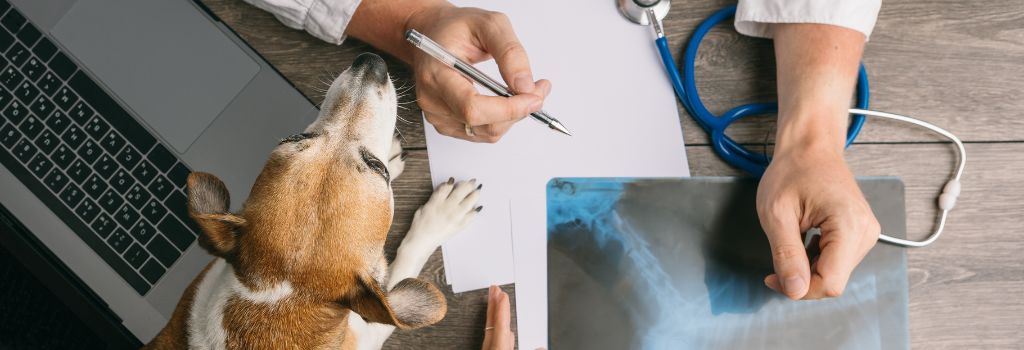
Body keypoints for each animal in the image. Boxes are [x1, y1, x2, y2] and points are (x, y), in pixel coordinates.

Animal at [146, 53, 481, 347]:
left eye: (295, 137)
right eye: (378, 168)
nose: (370, 63)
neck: (279, 296)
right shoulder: (368, 329)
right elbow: (406, 258)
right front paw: (443, 214)